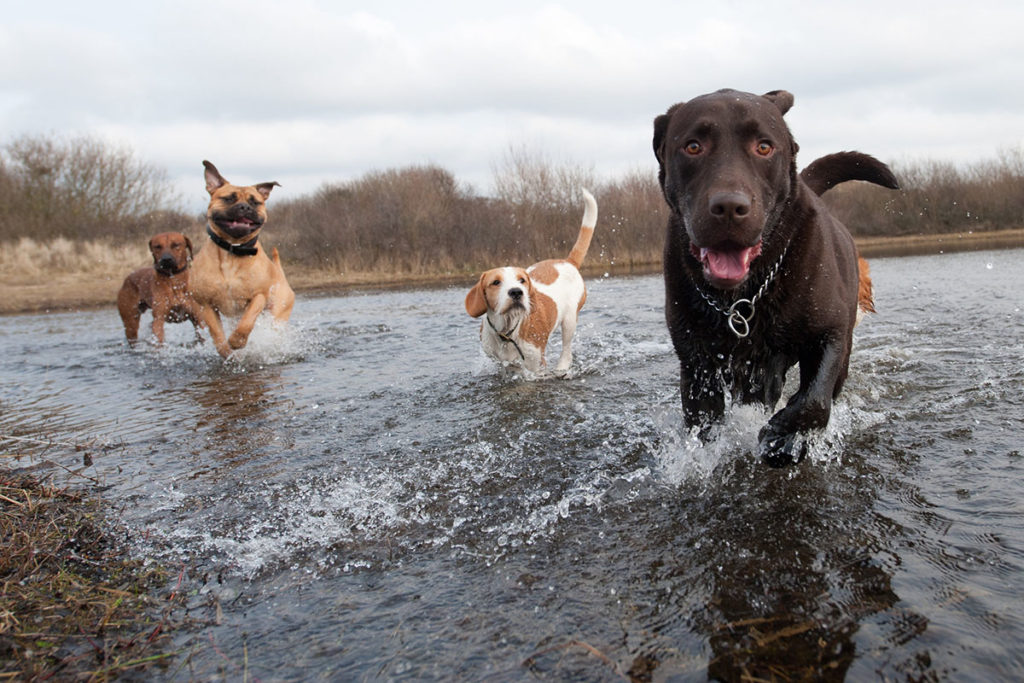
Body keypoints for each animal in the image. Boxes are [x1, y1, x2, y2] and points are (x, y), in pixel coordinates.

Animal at [190, 160, 294, 358]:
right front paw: (227, 351)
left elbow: (247, 321)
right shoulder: (206, 304)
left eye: (255, 202)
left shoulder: (258, 296)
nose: (245, 207)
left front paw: (237, 341)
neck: (233, 250)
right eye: (229, 199)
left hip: (277, 312)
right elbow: (216, 333)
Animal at [466, 189, 598, 376]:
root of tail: (567, 261)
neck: (508, 332)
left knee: (567, 350)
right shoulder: (502, 362)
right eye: (496, 282)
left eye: (522, 280)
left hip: (570, 321)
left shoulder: (536, 365)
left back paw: (562, 367)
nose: (516, 292)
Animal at [651, 89, 901, 464]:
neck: (743, 297)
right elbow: (704, 425)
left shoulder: (831, 335)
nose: (729, 207)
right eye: (693, 146)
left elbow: (814, 400)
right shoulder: (697, 365)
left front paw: (786, 436)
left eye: (764, 147)